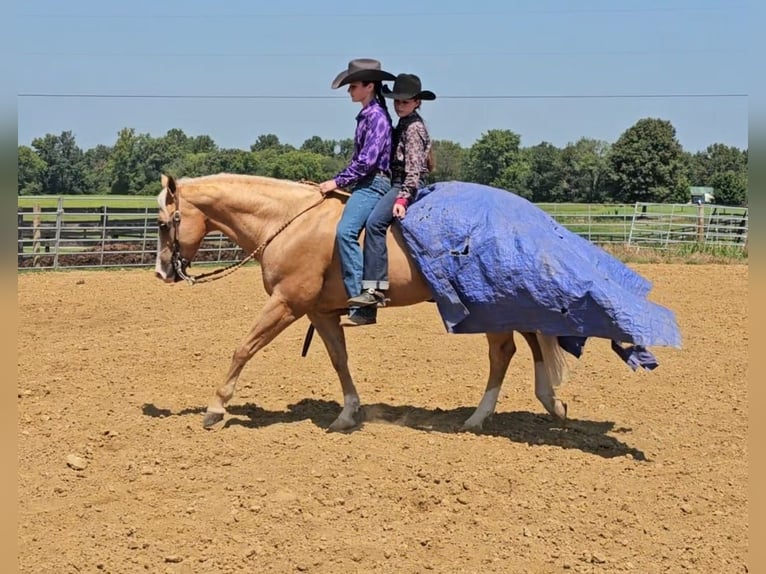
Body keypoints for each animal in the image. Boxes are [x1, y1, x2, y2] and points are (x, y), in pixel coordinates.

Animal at [154, 173, 568, 434]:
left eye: (162, 223)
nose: (162, 272)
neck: (288, 222)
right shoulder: (319, 312)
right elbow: (340, 359)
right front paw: (348, 414)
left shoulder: (286, 303)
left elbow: (243, 348)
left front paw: (216, 408)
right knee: (531, 341)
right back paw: (551, 402)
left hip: (491, 305)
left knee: (504, 351)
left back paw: (479, 418)